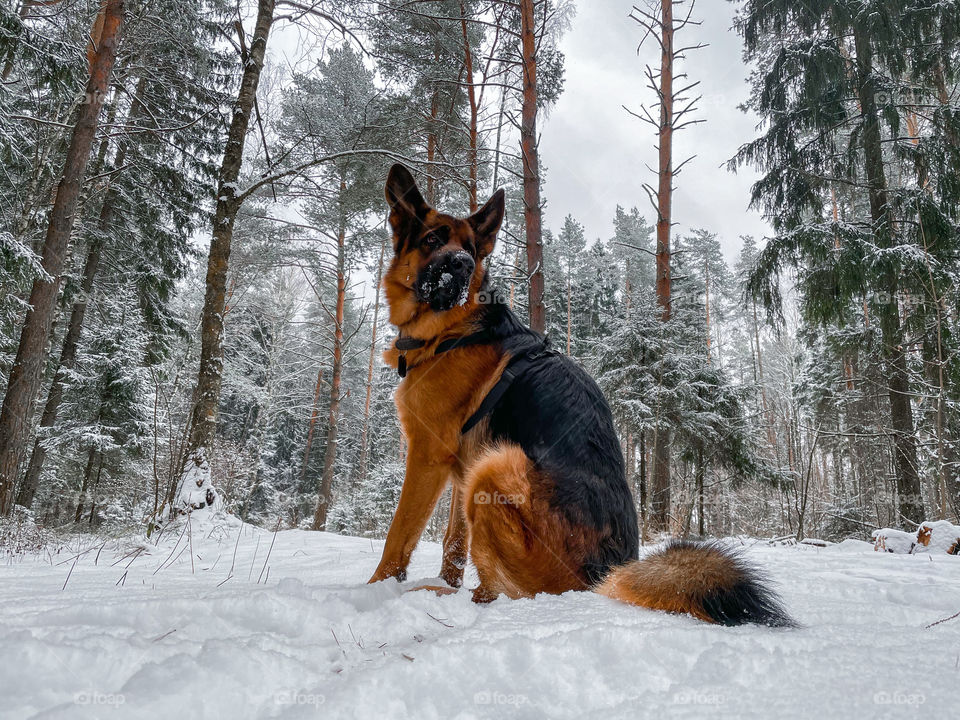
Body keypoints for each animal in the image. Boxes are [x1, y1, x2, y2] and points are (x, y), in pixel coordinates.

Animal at [372, 165, 792, 624]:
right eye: (433, 240)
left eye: (469, 249)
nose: (463, 265)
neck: (453, 329)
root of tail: (603, 575)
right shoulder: (457, 466)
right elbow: (452, 546)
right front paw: (441, 580)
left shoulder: (427, 456)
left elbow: (398, 536)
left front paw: (372, 591)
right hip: (481, 470)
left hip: (496, 467)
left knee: (504, 594)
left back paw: (439, 595)